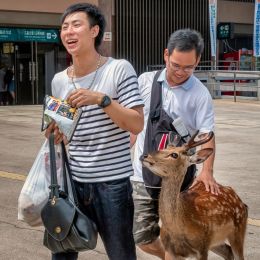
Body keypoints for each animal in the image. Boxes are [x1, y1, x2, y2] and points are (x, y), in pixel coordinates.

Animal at [142, 132, 248, 260]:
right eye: (163, 148)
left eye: (174, 155)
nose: (145, 156)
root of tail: (241, 202)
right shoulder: (170, 250)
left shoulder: (201, 247)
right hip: (215, 241)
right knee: (228, 251)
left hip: (238, 229)